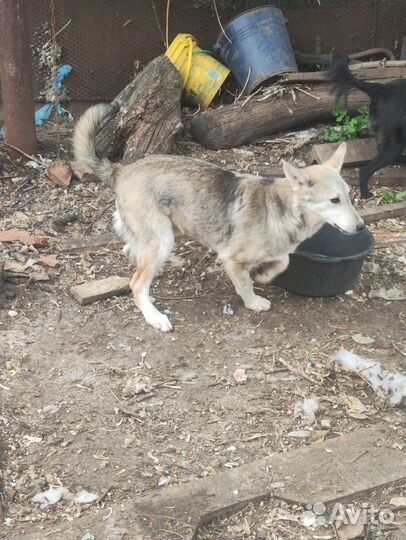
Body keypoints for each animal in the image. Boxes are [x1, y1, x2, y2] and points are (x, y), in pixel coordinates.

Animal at [73, 103, 364, 332]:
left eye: (349, 196)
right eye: (334, 200)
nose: (361, 226)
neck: (280, 209)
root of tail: (123, 170)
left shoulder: (278, 253)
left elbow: (283, 262)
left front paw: (264, 273)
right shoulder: (230, 259)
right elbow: (245, 284)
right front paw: (254, 301)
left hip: (165, 233)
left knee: (129, 252)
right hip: (163, 238)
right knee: (135, 283)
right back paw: (154, 316)